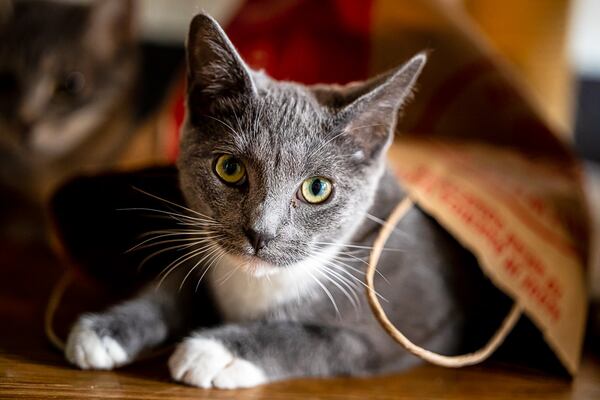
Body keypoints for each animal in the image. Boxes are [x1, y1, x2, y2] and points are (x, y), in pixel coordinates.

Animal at [64, 14, 502, 390]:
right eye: (229, 168)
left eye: (317, 188)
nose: (260, 232)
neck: (256, 285)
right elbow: (172, 287)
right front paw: (105, 330)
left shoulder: (411, 326)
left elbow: (317, 338)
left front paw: (215, 352)